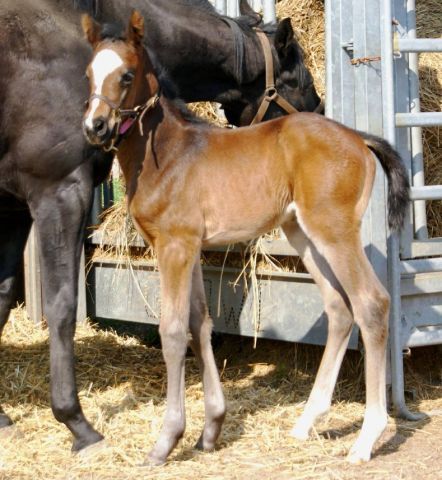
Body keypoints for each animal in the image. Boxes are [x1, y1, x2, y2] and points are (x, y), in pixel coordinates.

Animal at [0, 0, 322, 454]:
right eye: (300, 78)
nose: (319, 118)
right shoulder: (58, 193)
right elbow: (62, 307)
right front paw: (77, 423)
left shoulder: (11, 204)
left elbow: (2, 298)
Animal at [81, 13, 410, 466]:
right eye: (88, 75)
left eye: (127, 75)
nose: (94, 126)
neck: (169, 153)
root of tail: (359, 138)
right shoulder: (190, 248)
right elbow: (200, 323)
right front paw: (210, 431)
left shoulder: (174, 247)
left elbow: (172, 331)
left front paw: (166, 441)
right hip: (304, 234)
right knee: (339, 308)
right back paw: (306, 423)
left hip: (335, 230)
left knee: (371, 303)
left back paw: (366, 439)